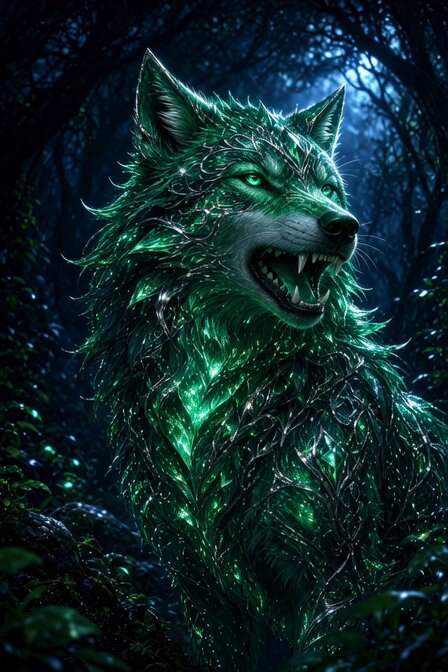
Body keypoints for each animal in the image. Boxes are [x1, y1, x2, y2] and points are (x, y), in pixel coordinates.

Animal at [80, 50, 448, 671]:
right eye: (254, 178)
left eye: (328, 187)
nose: (345, 225)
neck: (216, 376)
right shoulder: (202, 585)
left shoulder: (346, 579)